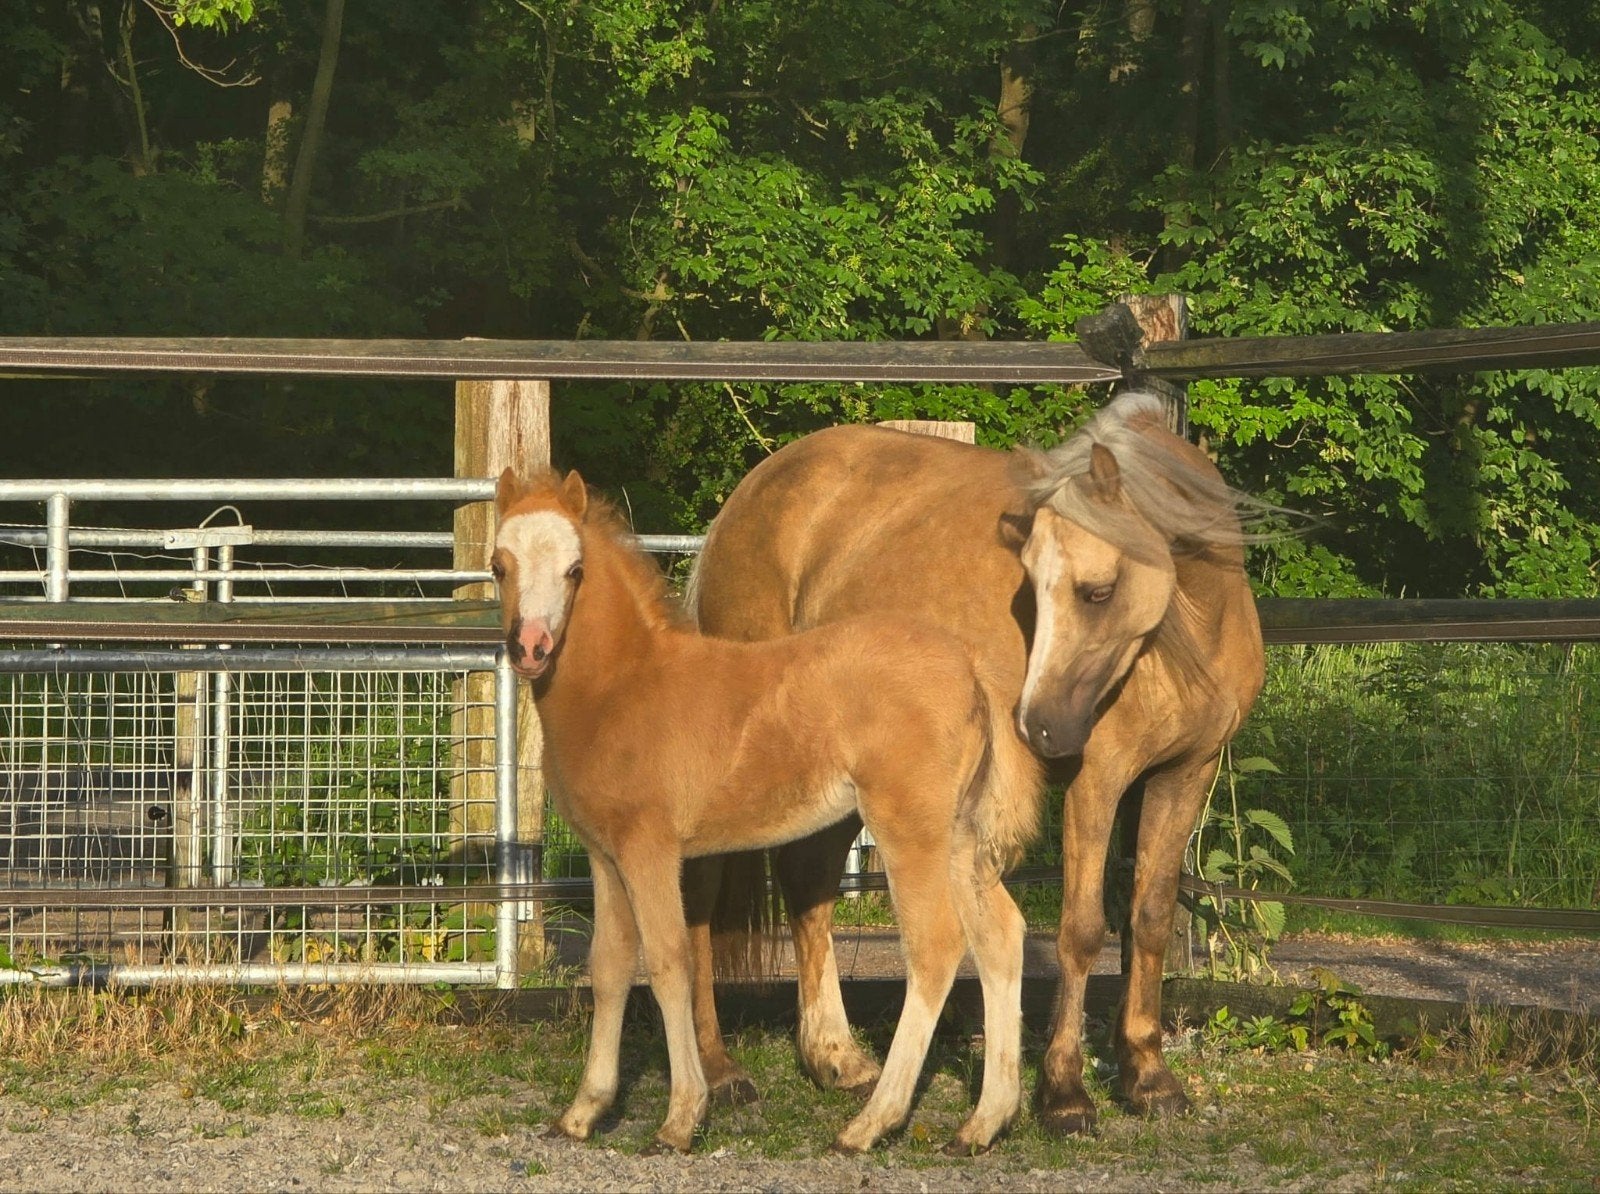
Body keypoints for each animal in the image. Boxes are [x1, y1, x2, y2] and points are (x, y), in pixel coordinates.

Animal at [492, 467, 1030, 1155]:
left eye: (574, 570)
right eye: (499, 565)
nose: (531, 647)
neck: (622, 688)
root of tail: (969, 671)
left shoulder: (650, 847)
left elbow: (667, 961)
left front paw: (682, 1117)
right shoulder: (604, 854)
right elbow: (608, 968)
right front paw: (583, 1112)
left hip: (911, 829)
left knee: (936, 946)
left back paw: (870, 1122)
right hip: (960, 835)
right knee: (1000, 936)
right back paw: (984, 1123)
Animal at [685, 390, 1268, 1134]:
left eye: (1097, 591)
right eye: (1031, 588)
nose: (1040, 724)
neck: (1188, 630)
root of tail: (750, 495)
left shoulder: (1183, 775)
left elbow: (1152, 917)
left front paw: (1148, 1076)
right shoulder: (1097, 781)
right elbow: (1082, 930)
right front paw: (1064, 1094)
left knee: (808, 881)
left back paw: (836, 1059)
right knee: (701, 899)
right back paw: (720, 1072)